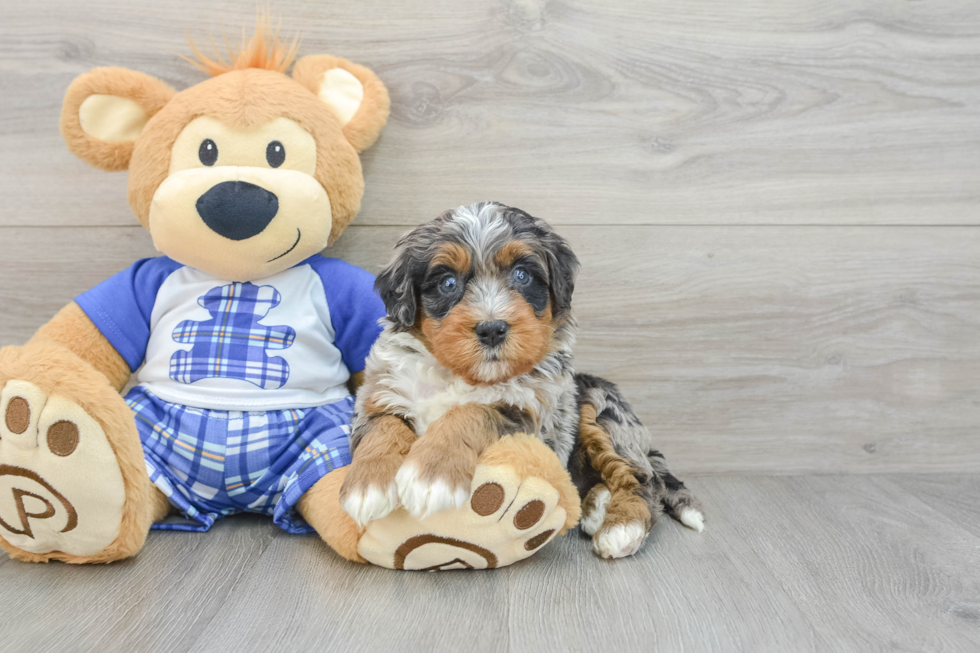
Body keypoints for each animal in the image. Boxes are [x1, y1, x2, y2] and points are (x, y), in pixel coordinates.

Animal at [340, 202, 700, 556]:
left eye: (522, 275)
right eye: (447, 283)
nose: (492, 329)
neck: (463, 375)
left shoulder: (528, 414)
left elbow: (471, 412)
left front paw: (430, 475)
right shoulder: (381, 392)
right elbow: (383, 429)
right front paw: (367, 487)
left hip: (602, 412)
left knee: (642, 480)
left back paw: (622, 527)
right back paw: (596, 508)